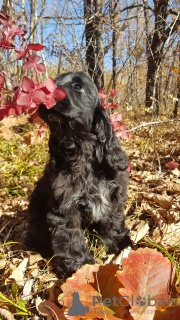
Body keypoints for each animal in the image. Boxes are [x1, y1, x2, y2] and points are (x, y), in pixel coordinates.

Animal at [25, 71, 129, 276]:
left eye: (78, 86)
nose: (46, 93)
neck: (82, 149)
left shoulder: (114, 194)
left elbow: (113, 220)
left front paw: (114, 243)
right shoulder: (65, 206)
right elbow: (70, 237)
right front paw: (81, 266)